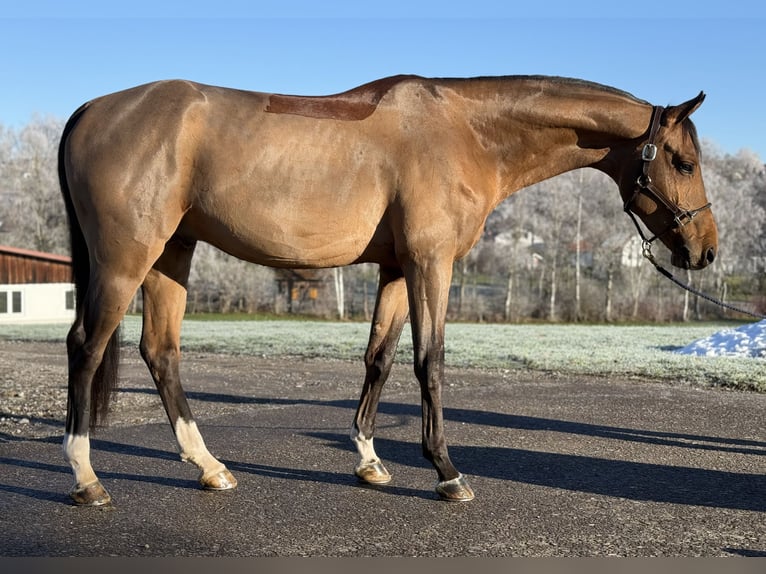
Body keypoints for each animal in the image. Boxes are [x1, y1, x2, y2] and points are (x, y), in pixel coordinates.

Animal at [58, 74, 720, 506]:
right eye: (683, 162)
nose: (706, 250)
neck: (467, 131)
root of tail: (90, 108)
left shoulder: (397, 269)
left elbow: (380, 357)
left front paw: (371, 461)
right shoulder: (431, 263)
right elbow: (431, 360)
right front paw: (447, 471)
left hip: (172, 253)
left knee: (160, 352)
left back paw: (209, 467)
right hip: (126, 258)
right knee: (86, 344)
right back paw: (87, 478)